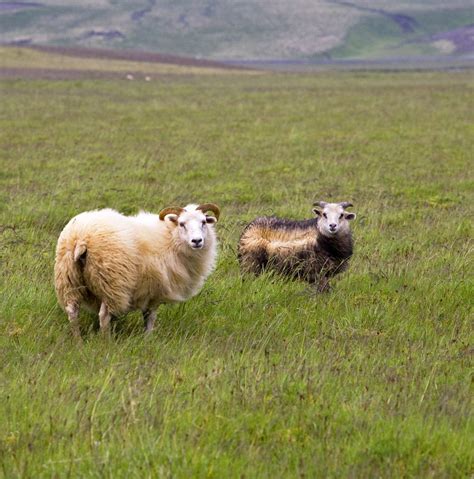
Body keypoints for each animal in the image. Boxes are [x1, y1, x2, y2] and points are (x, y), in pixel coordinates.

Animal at [54, 202, 220, 338]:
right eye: (181, 224)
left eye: (204, 222)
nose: (197, 241)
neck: (170, 237)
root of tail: (82, 239)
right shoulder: (155, 291)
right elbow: (150, 317)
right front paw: (148, 338)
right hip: (112, 283)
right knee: (104, 315)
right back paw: (106, 342)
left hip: (68, 278)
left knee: (72, 312)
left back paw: (78, 341)